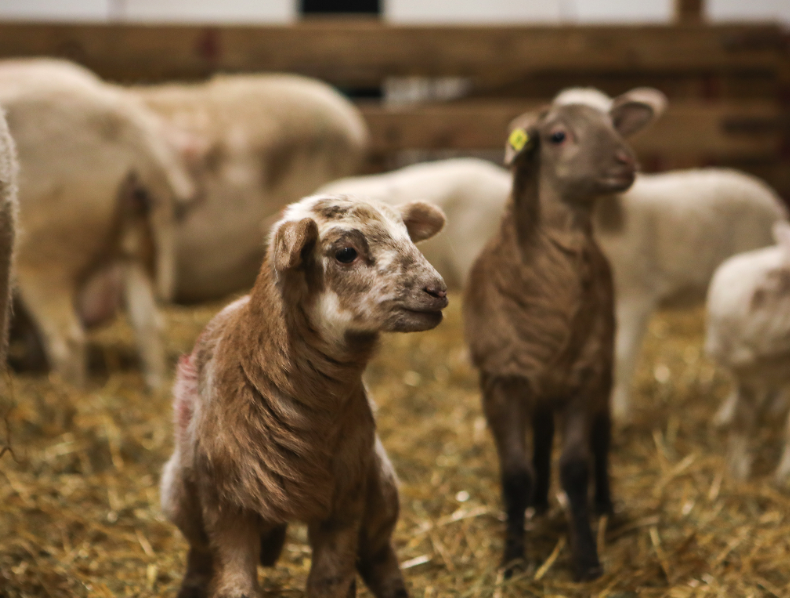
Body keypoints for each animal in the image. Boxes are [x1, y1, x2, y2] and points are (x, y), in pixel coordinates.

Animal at [159, 195, 452, 596]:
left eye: (408, 236)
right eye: (345, 253)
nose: (438, 290)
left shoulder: (345, 504)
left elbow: (330, 580)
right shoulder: (227, 509)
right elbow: (236, 584)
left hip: (380, 490)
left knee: (380, 556)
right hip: (182, 499)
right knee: (199, 557)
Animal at [464, 92, 668, 580]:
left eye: (614, 127)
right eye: (558, 136)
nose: (625, 160)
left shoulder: (583, 377)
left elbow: (575, 468)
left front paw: (587, 558)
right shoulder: (500, 381)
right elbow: (514, 473)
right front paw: (513, 558)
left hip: (602, 363)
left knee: (601, 436)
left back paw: (604, 503)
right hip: (539, 384)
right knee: (540, 437)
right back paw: (537, 503)